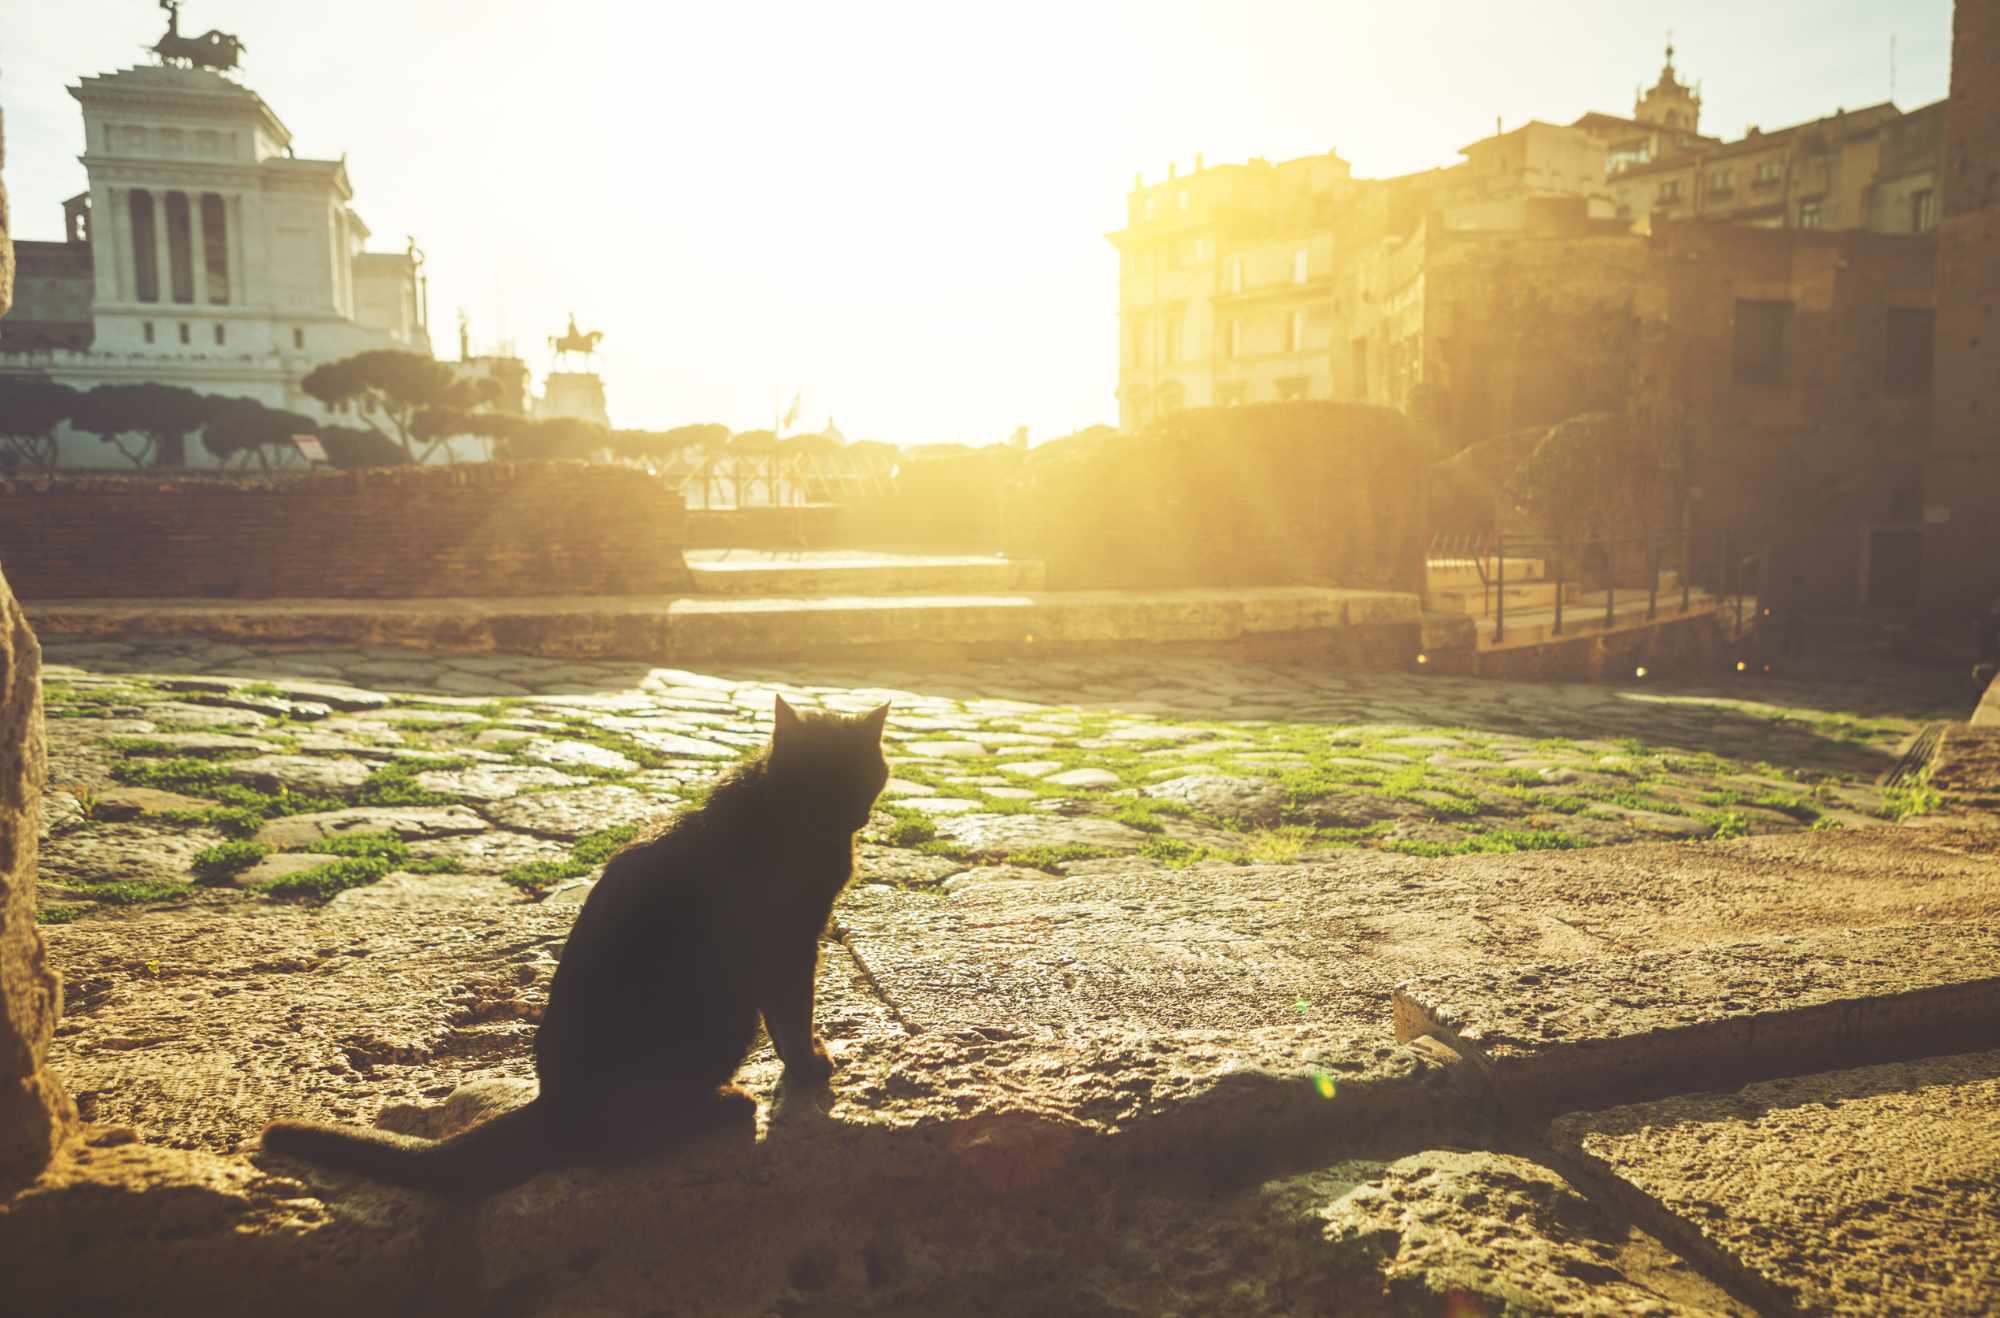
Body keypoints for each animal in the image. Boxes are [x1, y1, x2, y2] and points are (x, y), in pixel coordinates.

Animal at [262, 696, 888, 1200]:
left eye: (862, 774)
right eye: (819, 778)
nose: (848, 812)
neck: (793, 821)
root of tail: (551, 1108)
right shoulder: (787, 942)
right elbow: (793, 1016)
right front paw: (810, 1067)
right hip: (723, 1016)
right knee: (632, 1134)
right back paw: (727, 1101)